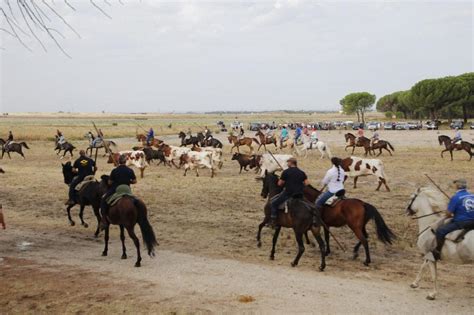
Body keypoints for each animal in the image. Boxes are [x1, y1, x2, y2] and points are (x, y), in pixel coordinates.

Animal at [258, 173, 394, 266]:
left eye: (264, 181)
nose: (263, 194)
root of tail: (363, 203)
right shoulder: (324, 225)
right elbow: (325, 237)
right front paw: (322, 248)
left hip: (354, 226)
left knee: (364, 240)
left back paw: (366, 260)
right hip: (360, 226)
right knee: (365, 237)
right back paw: (355, 252)